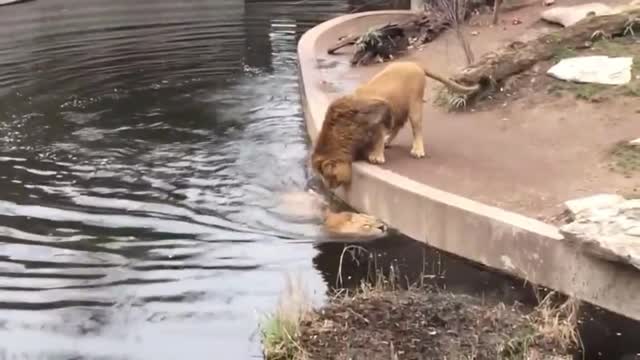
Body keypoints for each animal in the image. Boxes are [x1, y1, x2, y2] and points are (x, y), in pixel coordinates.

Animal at [310, 59, 480, 188]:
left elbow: (378, 135)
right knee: (398, 125)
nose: (329, 187)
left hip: (414, 104)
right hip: (400, 107)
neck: (339, 131)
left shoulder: (377, 113)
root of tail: (414, 64)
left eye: (329, 176)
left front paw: (376, 156)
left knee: (416, 128)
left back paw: (418, 150)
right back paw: (389, 142)